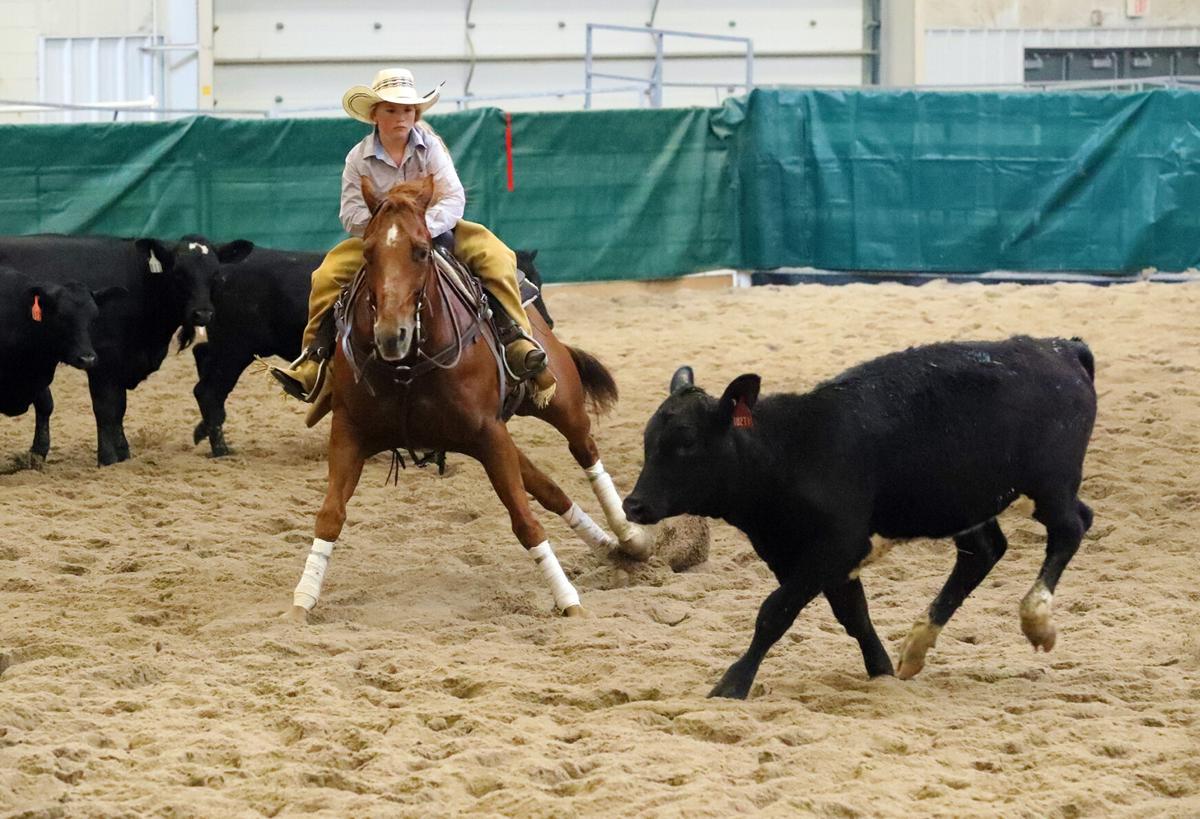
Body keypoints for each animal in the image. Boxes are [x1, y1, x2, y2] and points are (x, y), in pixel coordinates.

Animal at [289, 176, 651, 623]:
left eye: (421, 250)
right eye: (368, 253)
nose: (392, 335)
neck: (406, 368)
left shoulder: (488, 434)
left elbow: (525, 521)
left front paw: (568, 599)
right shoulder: (350, 432)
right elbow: (329, 517)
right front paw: (301, 601)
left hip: (559, 403)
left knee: (584, 451)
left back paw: (629, 537)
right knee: (548, 487)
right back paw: (606, 544)